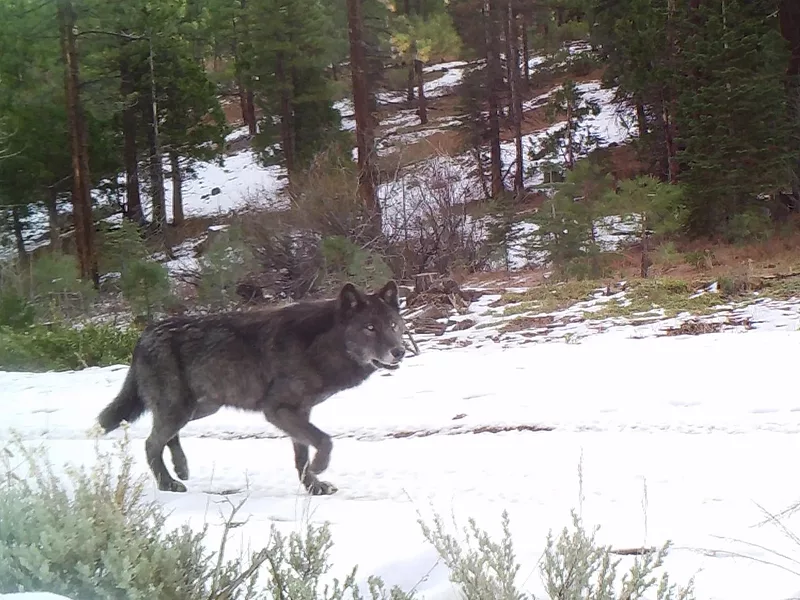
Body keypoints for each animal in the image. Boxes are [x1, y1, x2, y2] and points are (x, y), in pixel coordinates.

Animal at [96, 280, 407, 495]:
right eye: (369, 328)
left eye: (393, 325)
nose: (400, 352)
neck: (320, 347)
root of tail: (144, 334)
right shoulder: (278, 410)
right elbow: (324, 441)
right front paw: (319, 468)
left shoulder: (299, 412)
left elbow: (303, 453)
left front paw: (313, 487)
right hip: (180, 409)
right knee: (151, 443)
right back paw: (168, 484)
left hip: (202, 408)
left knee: (165, 437)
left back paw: (181, 468)